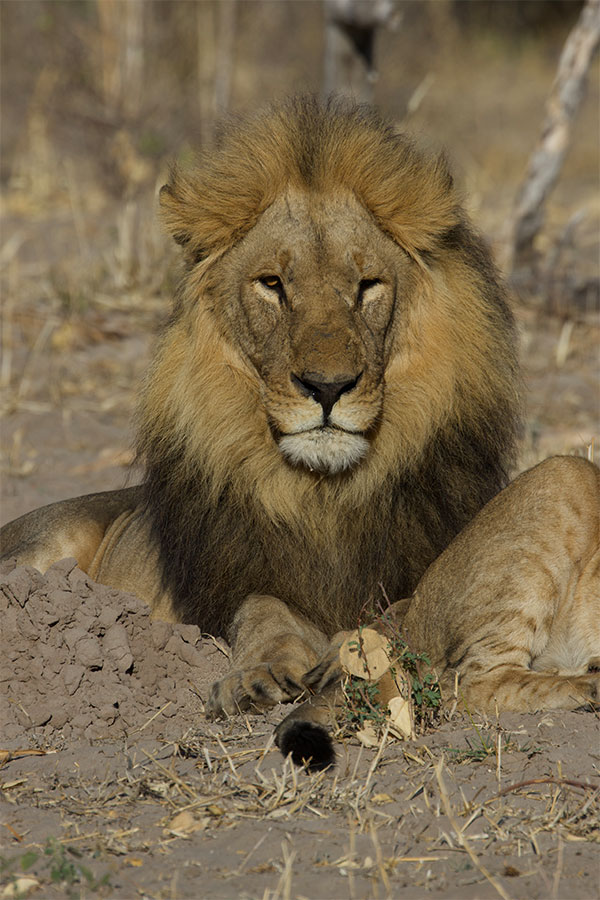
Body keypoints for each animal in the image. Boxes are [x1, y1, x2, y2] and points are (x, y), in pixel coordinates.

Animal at [0, 95, 524, 716]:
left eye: (368, 285)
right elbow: (264, 610)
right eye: (272, 283)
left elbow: (399, 612)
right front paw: (260, 673)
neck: (323, 495)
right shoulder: (237, 580)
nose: (327, 387)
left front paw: (350, 658)